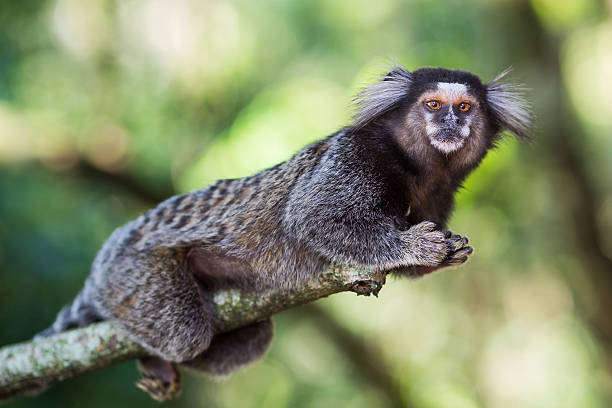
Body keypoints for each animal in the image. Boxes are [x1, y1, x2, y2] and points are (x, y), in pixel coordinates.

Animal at [40, 65, 532, 400]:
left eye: (464, 108)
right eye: (433, 105)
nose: (450, 124)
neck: (416, 166)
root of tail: (110, 254)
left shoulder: (438, 195)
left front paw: (442, 253)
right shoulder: (354, 157)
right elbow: (312, 218)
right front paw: (417, 247)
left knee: (252, 337)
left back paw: (156, 363)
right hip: (134, 272)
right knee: (185, 333)